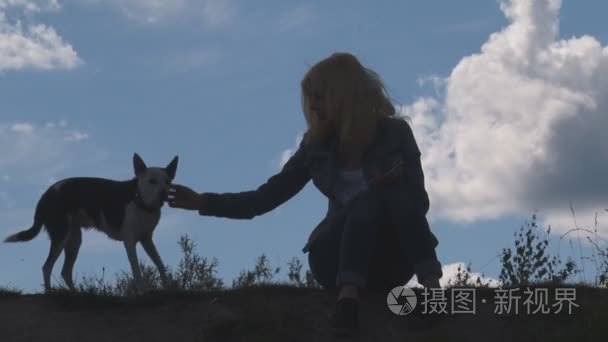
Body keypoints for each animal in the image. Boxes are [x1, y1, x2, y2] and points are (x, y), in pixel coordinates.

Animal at [3, 154, 178, 292]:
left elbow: (160, 264)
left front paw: (167, 287)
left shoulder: (146, 239)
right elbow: (137, 270)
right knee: (47, 267)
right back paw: (49, 293)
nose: (164, 193)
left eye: (168, 181)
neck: (141, 201)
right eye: (152, 181)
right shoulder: (130, 242)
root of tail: (45, 196)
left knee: (65, 271)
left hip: (74, 239)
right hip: (61, 235)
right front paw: (142, 292)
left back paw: (76, 293)